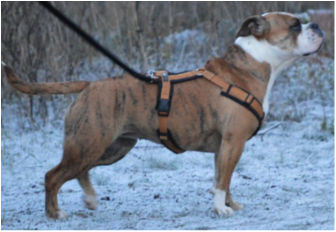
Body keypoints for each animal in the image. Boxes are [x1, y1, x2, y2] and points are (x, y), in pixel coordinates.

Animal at [1, 12, 324, 219]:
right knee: (53, 176)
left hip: (110, 147)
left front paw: (230, 204)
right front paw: (221, 209)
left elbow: (224, 178)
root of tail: (89, 84)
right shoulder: (234, 142)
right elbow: (223, 181)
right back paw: (55, 214)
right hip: (87, 145)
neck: (252, 64)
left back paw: (90, 199)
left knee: (80, 171)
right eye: (295, 25)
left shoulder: (225, 147)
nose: (318, 25)